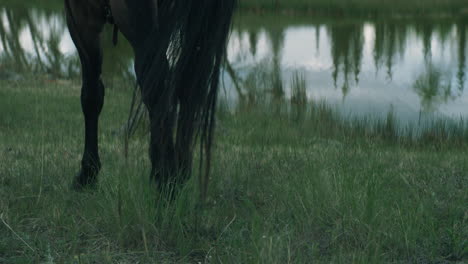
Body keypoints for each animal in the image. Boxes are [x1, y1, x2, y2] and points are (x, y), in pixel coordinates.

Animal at [64, 0, 236, 194]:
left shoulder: (81, 16)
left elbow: (91, 95)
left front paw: (88, 173)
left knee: (157, 85)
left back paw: (167, 183)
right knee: (189, 82)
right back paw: (178, 173)